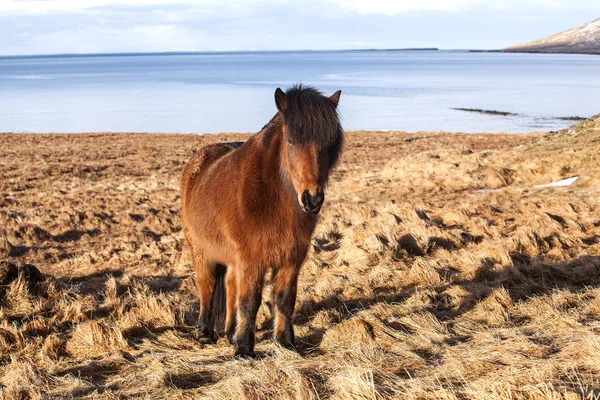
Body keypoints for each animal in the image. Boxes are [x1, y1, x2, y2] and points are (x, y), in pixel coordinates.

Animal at [179, 83, 342, 356]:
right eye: (291, 140)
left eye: (329, 144)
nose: (312, 199)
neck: (272, 195)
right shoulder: (251, 259)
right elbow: (250, 301)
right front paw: (245, 349)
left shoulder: (291, 258)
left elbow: (284, 299)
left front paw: (285, 342)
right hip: (201, 251)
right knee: (207, 286)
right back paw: (205, 333)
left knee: (230, 285)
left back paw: (229, 332)